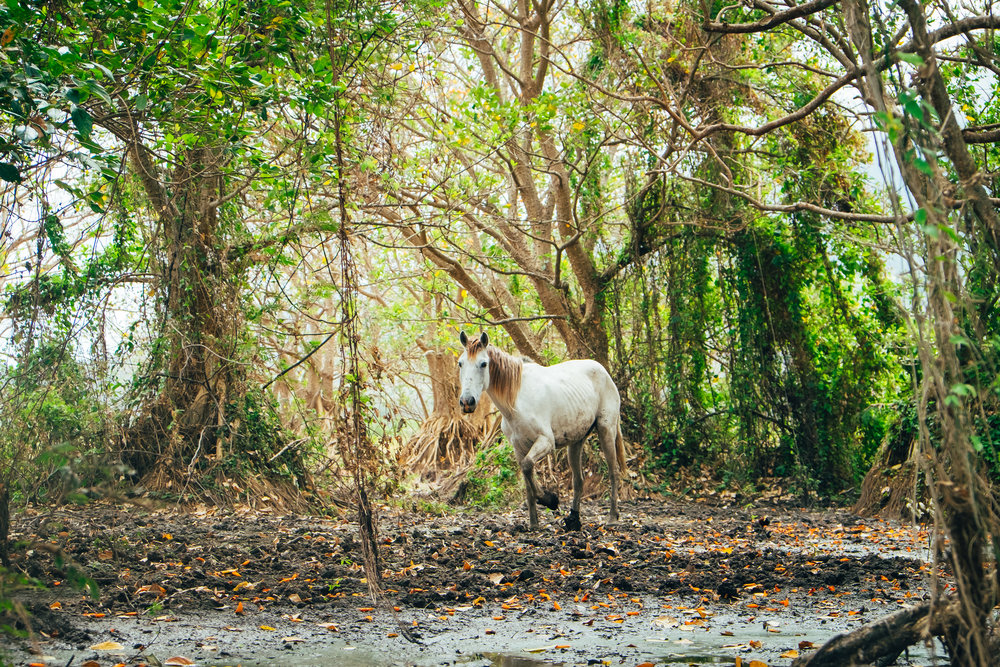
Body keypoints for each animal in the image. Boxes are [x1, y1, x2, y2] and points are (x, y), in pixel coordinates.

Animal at [457, 331, 626, 531]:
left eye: (483, 364)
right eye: (460, 363)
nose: (467, 402)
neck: (517, 401)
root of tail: (602, 370)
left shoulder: (546, 442)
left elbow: (528, 466)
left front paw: (550, 500)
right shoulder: (519, 448)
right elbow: (527, 478)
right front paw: (534, 523)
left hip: (606, 430)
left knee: (613, 472)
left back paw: (613, 517)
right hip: (576, 442)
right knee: (578, 480)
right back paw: (573, 520)